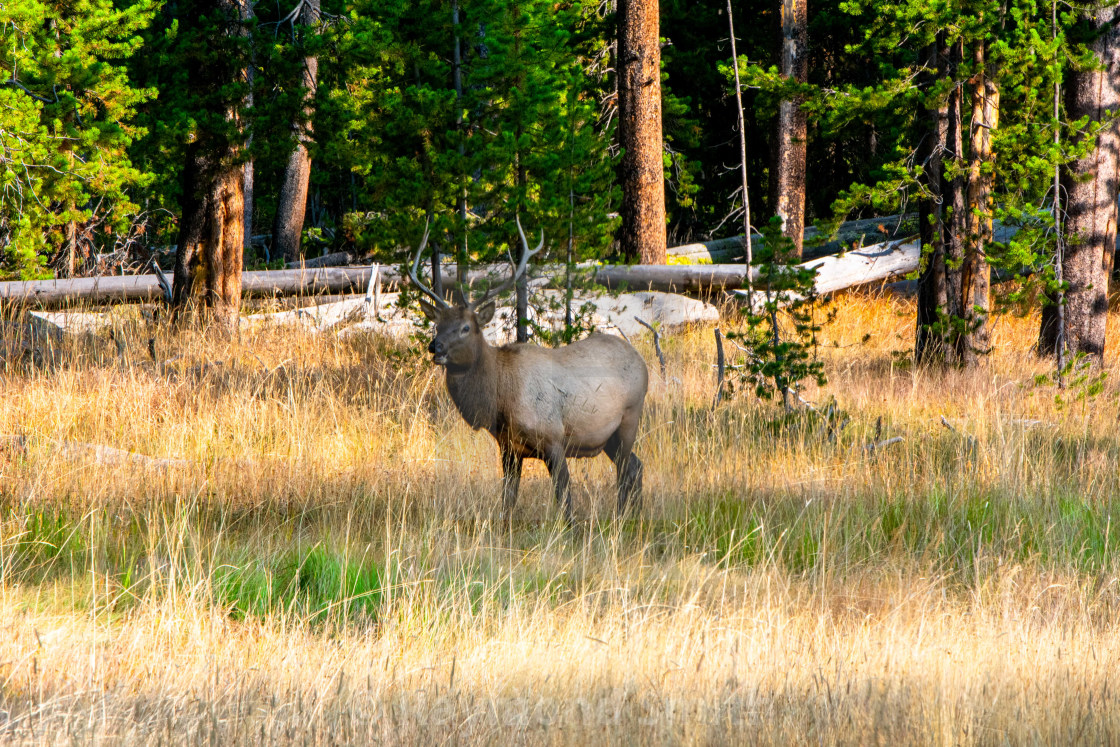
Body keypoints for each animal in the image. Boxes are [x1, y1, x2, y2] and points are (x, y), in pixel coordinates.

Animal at [412, 219, 649, 524]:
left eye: (465, 328)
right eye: (437, 325)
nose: (435, 346)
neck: (500, 399)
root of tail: (641, 360)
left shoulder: (554, 439)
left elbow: (564, 497)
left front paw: (570, 529)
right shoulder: (508, 448)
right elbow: (508, 499)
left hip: (630, 418)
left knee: (625, 470)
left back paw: (623, 517)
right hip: (608, 437)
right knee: (636, 465)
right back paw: (634, 515)